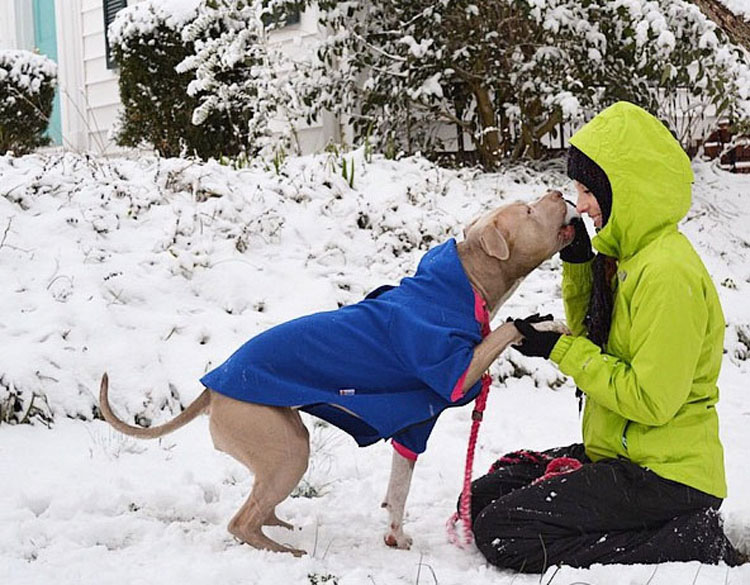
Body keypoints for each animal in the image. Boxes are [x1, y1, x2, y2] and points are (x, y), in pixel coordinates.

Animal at [100, 189, 580, 556]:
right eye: (529, 211)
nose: (558, 192)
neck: (466, 281)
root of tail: (212, 387)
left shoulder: (413, 426)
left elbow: (397, 489)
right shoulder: (446, 380)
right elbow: (505, 331)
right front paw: (545, 324)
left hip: (279, 446)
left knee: (260, 503)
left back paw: (280, 525)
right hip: (284, 446)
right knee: (241, 521)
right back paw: (284, 552)